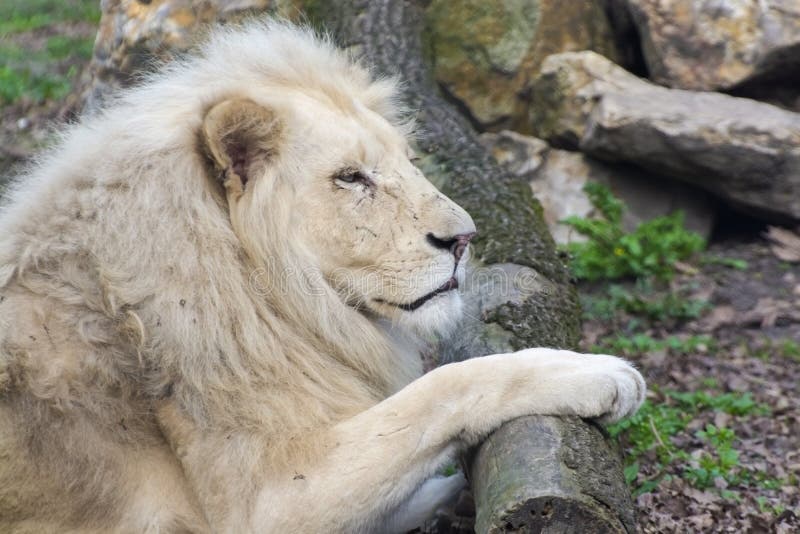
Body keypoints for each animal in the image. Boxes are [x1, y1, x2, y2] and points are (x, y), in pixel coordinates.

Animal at [0, 22, 644, 534]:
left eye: (410, 162)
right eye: (351, 177)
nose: (464, 239)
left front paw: (450, 496)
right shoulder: (262, 503)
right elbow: (444, 388)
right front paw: (596, 374)